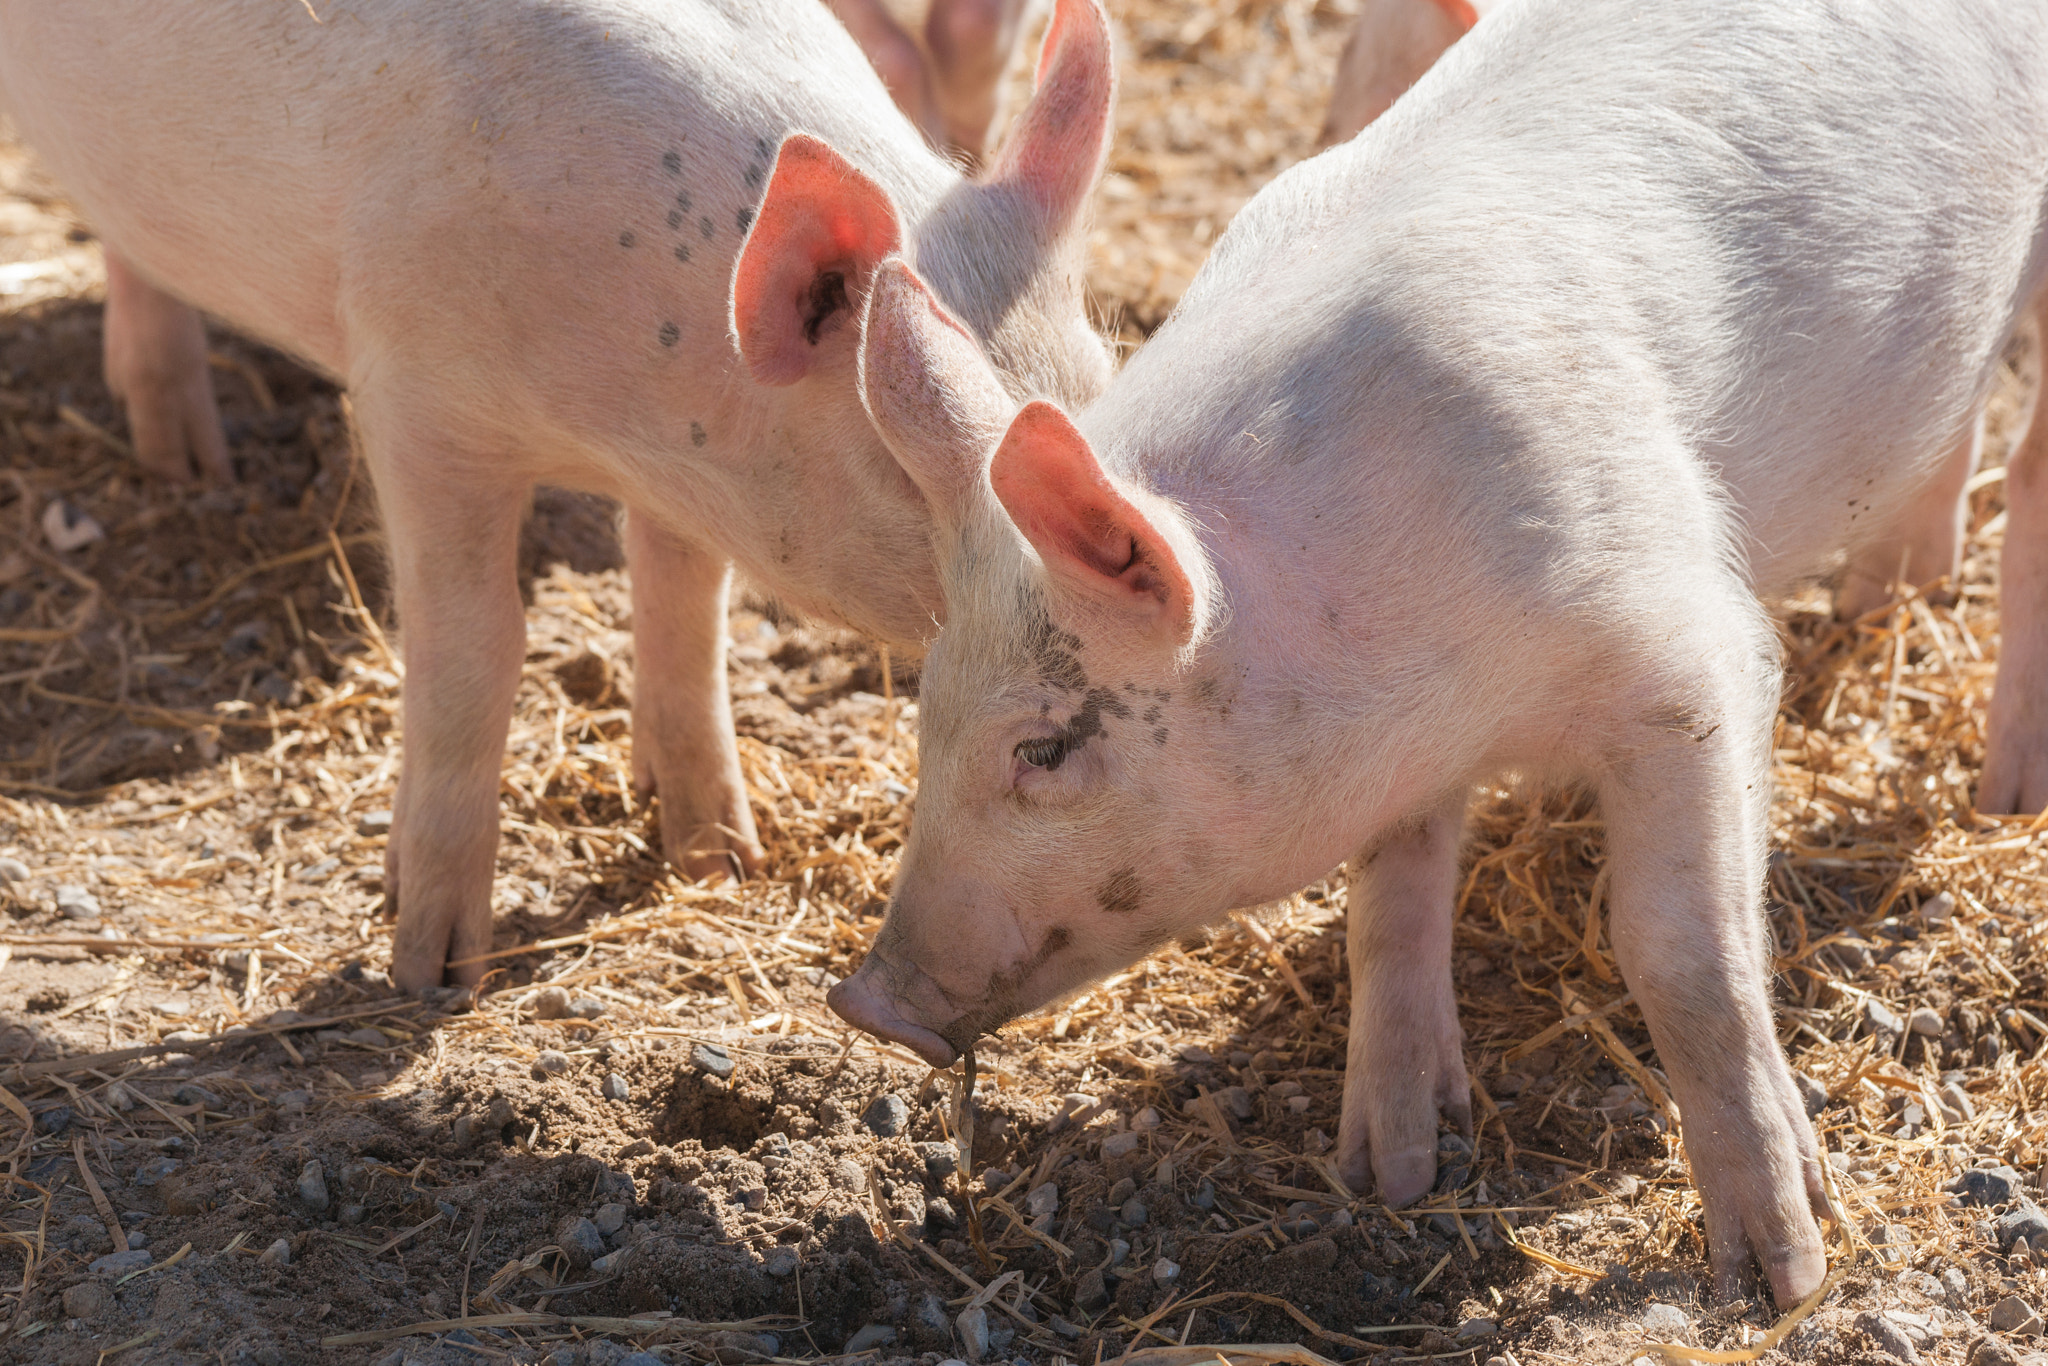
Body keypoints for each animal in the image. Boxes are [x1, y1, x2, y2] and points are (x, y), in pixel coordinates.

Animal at [0, 0, 1122, 987]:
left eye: (1101, 387)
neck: (620, 424)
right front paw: (433, 971)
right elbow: (475, 648)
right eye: (907, 460)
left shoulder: (690, 473)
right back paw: (192, 464)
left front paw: (721, 860)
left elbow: (685, 612)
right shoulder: (414, 399)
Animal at [831, 0, 2048, 1310]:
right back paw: (1891, 597)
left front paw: (1779, 1276)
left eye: (1045, 748)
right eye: (925, 714)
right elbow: (1389, 898)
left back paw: (2007, 797)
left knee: (2028, 473)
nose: (867, 998)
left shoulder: (1688, 652)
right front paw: (1392, 1173)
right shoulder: (1394, 751)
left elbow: (1680, 951)